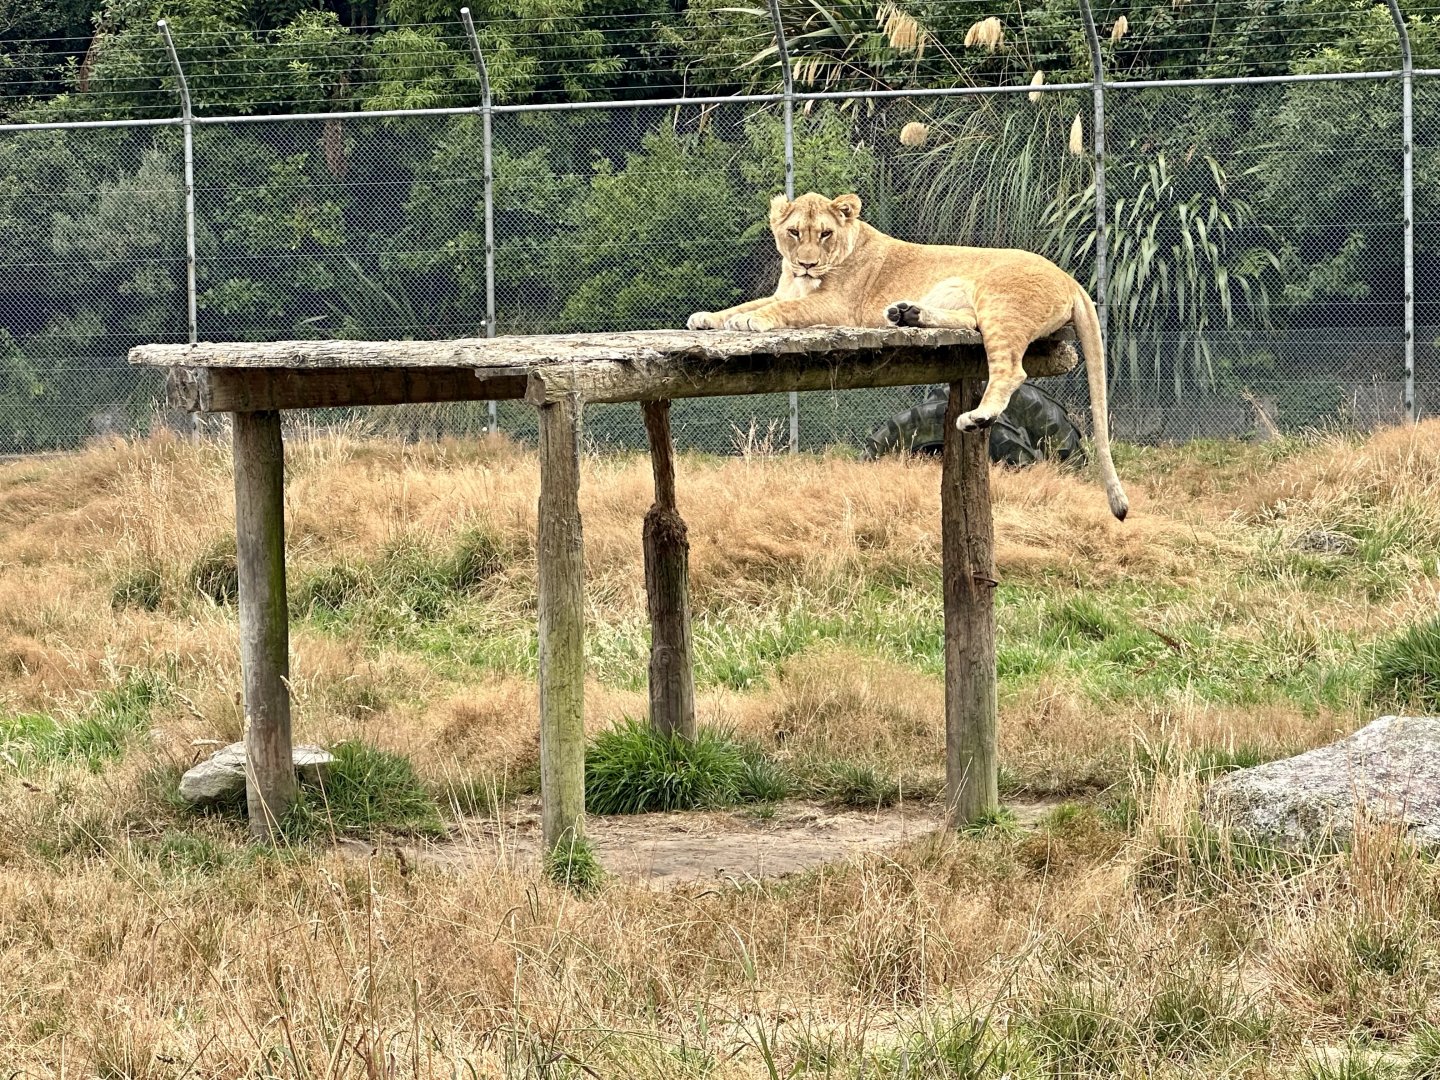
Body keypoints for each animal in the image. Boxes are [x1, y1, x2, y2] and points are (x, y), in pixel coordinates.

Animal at [688, 192, 1129, 521]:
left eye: (825, 234)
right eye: (794, 232)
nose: (807, 264)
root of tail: (1070, 278)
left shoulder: (837, 307)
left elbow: (782, 309)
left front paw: (752, 321)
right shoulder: (785, 290)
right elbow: (748, 304)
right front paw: (707, 317)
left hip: (997, 300)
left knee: (1011, 371)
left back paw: (975, 416)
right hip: (972, 304)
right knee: (967, 324)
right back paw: (907, 314)